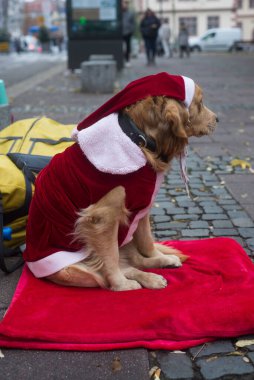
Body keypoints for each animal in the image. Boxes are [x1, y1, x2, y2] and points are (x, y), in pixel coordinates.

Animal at [24, 73, 217, 290]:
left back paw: (159, 267)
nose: (218, 119)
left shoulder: (141, 208)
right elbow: (110, 258)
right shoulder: (103, 217)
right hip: (76, 269)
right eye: (200, 103)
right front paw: (119, 285)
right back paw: (134, 281)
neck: (138, 139)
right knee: (107, 272)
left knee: (135, 262)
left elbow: (146, 241)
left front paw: (158, 256)